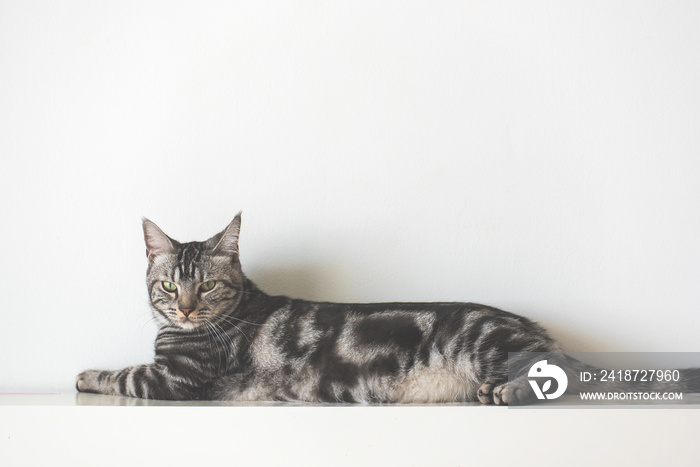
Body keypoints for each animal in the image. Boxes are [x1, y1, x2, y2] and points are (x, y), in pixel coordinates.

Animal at [74, 214, 696, 404]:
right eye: (168, 286)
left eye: (205, 287)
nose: (183, 312)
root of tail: (540, 332)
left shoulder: (175, 380)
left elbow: (120, 373)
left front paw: (85, 374)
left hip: (490, 341)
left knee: (567, 379)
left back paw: (514, 390)